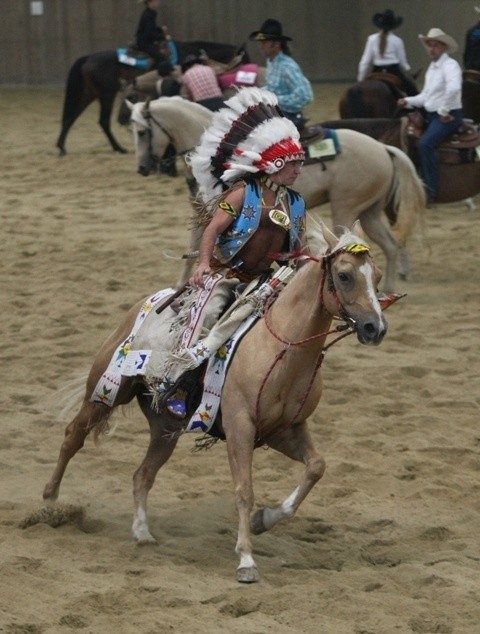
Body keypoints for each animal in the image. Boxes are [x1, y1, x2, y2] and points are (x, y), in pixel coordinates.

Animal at [42, 222, 390, 584]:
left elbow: (316, 468)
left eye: (377, 276)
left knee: (142, 474)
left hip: (164, 428)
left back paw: (142, 532)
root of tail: (145, 303)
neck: (281, 347)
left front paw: (263, 520)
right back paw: (50, 504)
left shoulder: (285, 430)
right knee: (72, 438)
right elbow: (244, 490)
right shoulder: (240, 428)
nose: (375, 328)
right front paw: (246, 559)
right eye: (345, 275)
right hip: (104, 392)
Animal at [54, 40, 246, 155]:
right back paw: (118, 148)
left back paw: (62, 146)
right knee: (102, 121)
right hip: (105, 94)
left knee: (71, 117)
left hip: (90, 93)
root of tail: (88, 57)